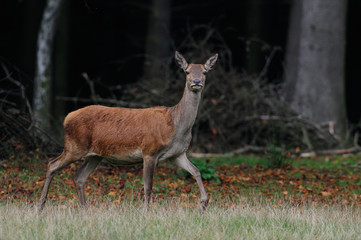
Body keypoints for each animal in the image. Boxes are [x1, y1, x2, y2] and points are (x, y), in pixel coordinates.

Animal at [40, 51, 218, 211]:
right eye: (187, 71)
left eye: (204, 71)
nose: (196, 82)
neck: (176, 127)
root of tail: (67, 117)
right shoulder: (149, 151)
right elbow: (148, 185)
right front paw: (146, 212)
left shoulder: (178, 154)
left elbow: (196, 171)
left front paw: (204, 204)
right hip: (75, 146)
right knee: (52, 164)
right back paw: (41, 205)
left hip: (94, 155)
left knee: (79, 177)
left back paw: (84, 210)